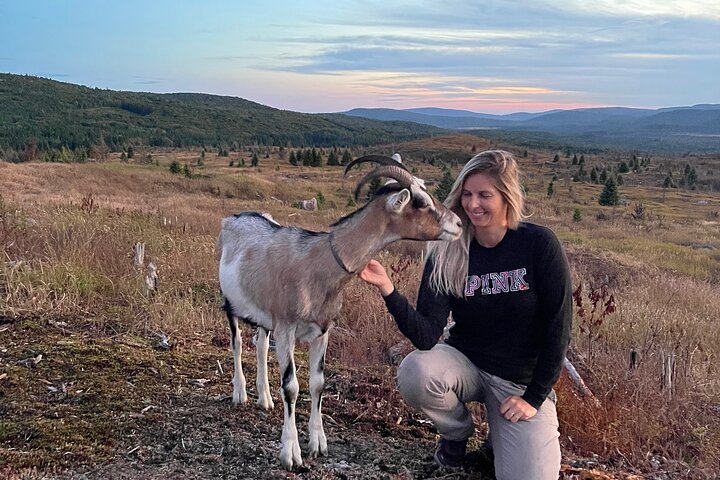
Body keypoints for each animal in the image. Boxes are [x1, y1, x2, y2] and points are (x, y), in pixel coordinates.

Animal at [217, 155, 462, 470]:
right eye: (419, 201)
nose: (458, 223)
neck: (318, 262)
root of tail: (235, 217)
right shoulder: (287, 328)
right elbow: (292, 386)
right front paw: (291, 452)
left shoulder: (323, 330)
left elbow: (318, 383)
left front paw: (318, 443)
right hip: (231, 301)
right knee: (236, 343)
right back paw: (240, 393)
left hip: (265, 315)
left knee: (259, 345)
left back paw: (265, 398)